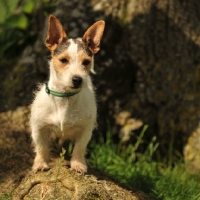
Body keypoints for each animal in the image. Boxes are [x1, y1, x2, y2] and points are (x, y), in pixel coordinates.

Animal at [30, 14, 104, 173]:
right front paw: (41, 163)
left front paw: (77, 164)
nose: (77, 79)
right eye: (63, 60)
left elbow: (79, 148)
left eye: (86, 62)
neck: (64, 98)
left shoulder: (85, 130)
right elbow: (41, 147)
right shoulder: (39, 128)